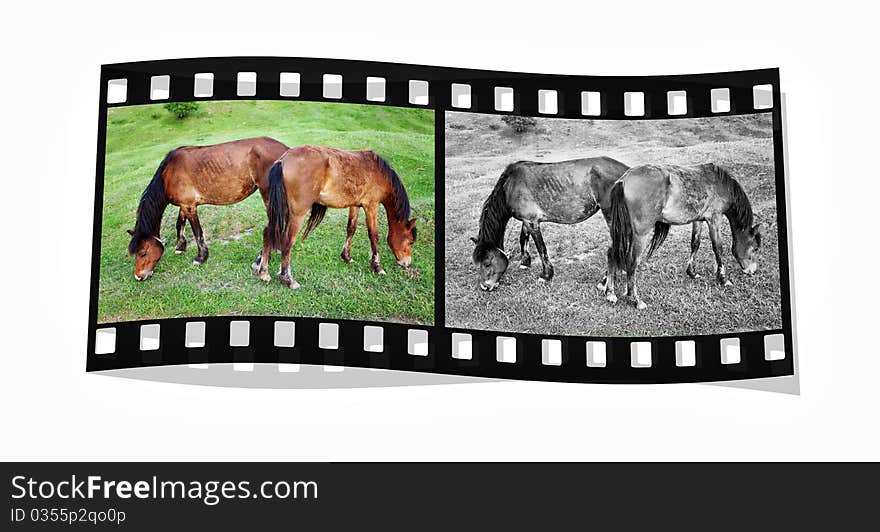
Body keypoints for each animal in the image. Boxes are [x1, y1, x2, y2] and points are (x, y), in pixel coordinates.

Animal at [127, 135, 288, 280]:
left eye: (143, 253)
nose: (138, 276)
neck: (168, 173)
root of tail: (286, 151)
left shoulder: (189, 206)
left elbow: (197, 233)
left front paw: (200, 258)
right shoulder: (184, 205)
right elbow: (179, 224)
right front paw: (180, 247)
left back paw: (259, 260)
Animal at [256, 145, 418, 288]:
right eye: (410, 241)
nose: (407, 263)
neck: (379, 172)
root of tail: (283, 160)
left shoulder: (355, 205)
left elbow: (351, 229)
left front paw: (346, 257)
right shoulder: (371, 206)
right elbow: (373, 235)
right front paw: (377, 267)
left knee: (268, 233)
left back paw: (264, 272)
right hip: (297, 214)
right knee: (287, 241)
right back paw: (288, 279)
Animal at [470, 156, 628, 290]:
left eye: (487, 263)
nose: (485, 287)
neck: (509, 186)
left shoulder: (532, 222)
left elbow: (541, 249)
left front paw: (546, 275)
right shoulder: (527, 221)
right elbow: (523, 239)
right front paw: (525, 263)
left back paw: (605, 281)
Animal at [604, 164, 764, 310]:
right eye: (755, 248)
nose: (752, 270)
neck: (721, 184)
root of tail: (623, 180)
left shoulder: (698, 220)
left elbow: (695, 243)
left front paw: (692, 272)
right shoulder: (714, 219)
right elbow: (718, 248)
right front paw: (723, 279)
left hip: (622, 231)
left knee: (612, 253)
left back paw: (611, 293)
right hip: (641, 233)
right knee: (632, 263)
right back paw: (636, 300)